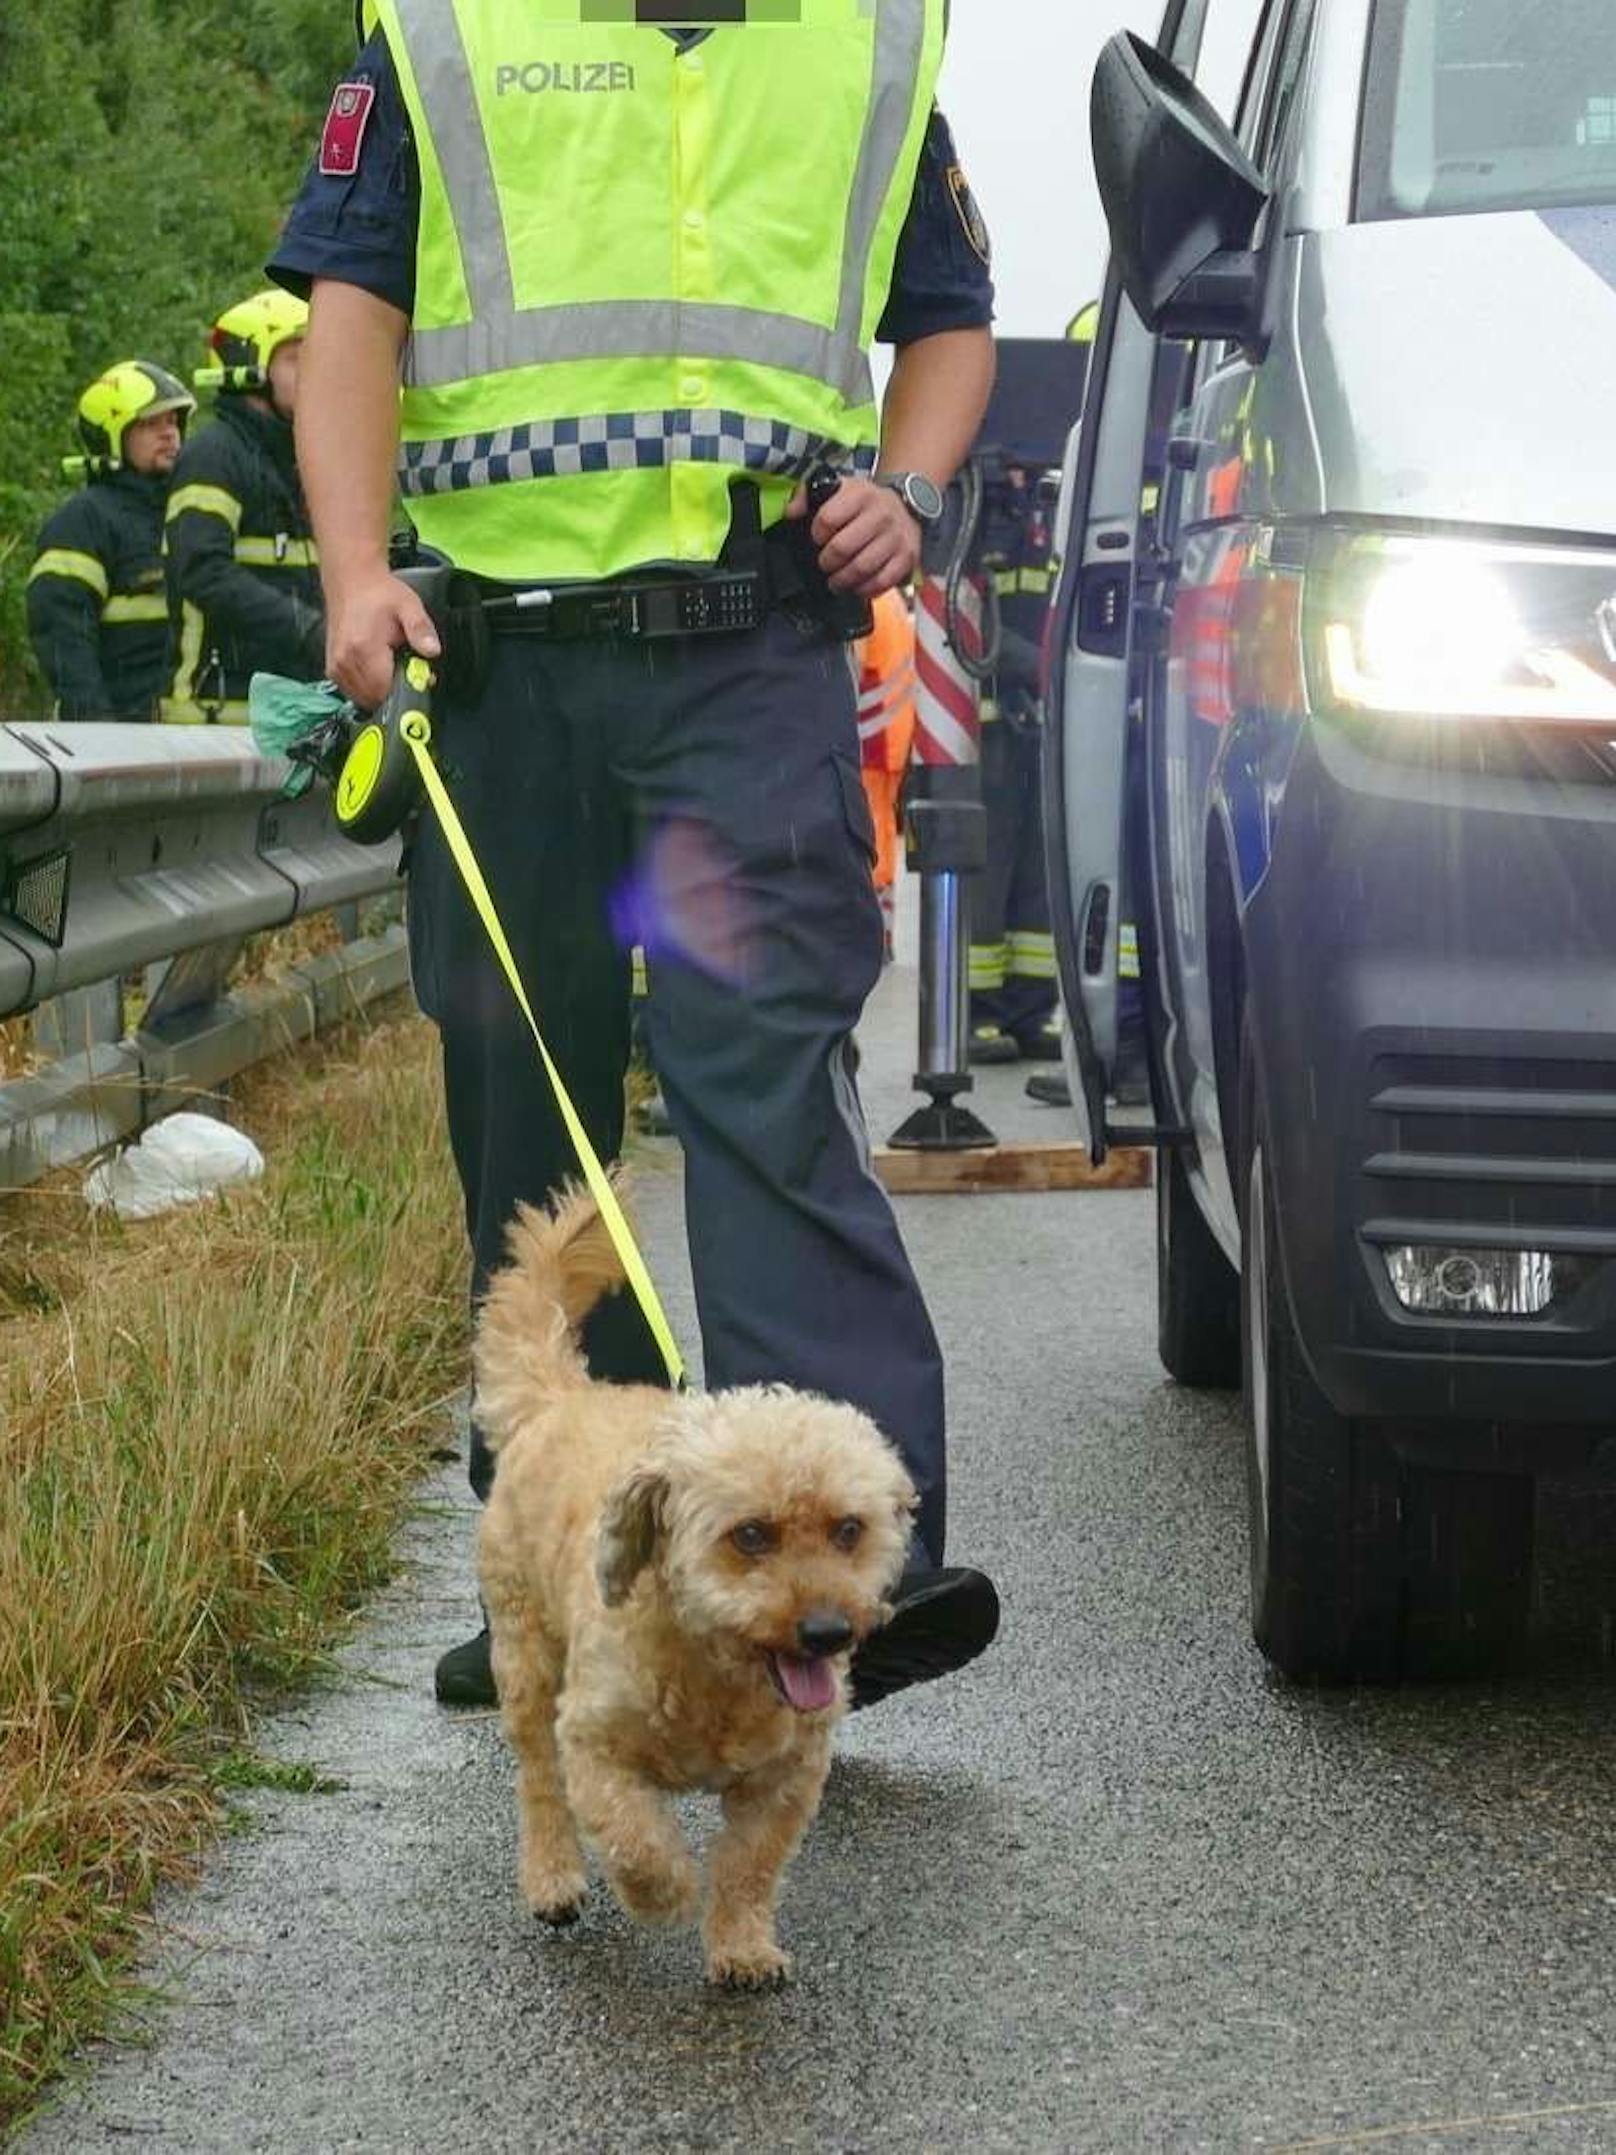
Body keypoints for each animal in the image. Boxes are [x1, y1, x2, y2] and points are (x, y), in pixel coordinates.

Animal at [474, 1180, 917, 1982]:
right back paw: (553, 1877)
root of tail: (562, 1397)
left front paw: (741, 1945)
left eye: (848, 1528)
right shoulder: (592, 1742)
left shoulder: (785, 1778)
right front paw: (666, 1893)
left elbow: (748, 1865)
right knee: (540, 1783)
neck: (713, 1672)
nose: (826, 1631)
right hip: (524, 1658)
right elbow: (633, 1836)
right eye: (751, 1534)